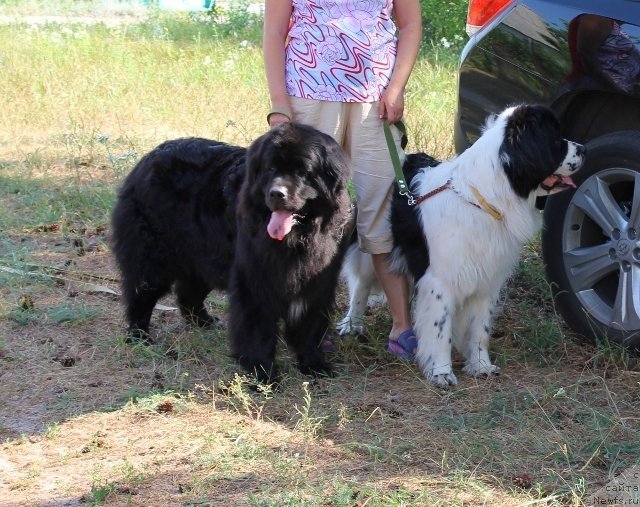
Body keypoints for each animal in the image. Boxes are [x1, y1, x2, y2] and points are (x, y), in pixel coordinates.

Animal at [113, 123, 358, 382]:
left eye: (303, 172)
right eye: (271, 168)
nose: (276, 193)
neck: (297, 239)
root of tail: (147, 158)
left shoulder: (316, 281)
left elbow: (309, 326)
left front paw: (314, 364)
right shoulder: (254, 280)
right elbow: (257, 329)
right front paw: (262, 373)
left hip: (203, 254)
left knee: (188, 293)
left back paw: (205, 322)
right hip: (154, 258)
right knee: (140, 295)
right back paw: (139, 336)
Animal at [340, 104, 584, 388]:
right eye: (555, 139)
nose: (584, 149)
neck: (483, 198)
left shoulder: (487, 279)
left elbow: (480, 328)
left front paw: (480, 365)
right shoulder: (439, 282)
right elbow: (440, 329)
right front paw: (441, 372)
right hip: (374, 238)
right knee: (361, 281)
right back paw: (352, 323)